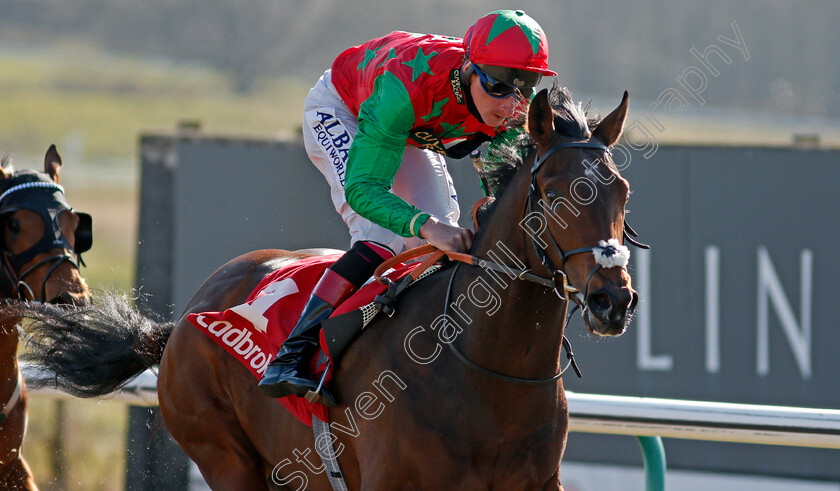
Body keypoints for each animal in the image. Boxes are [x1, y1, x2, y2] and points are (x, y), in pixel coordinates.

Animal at [18, 89, 636, 491]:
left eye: (622, 191)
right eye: (552, 192)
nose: (613, 299)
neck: (485, 370)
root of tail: (182, 320)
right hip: (223, 456)